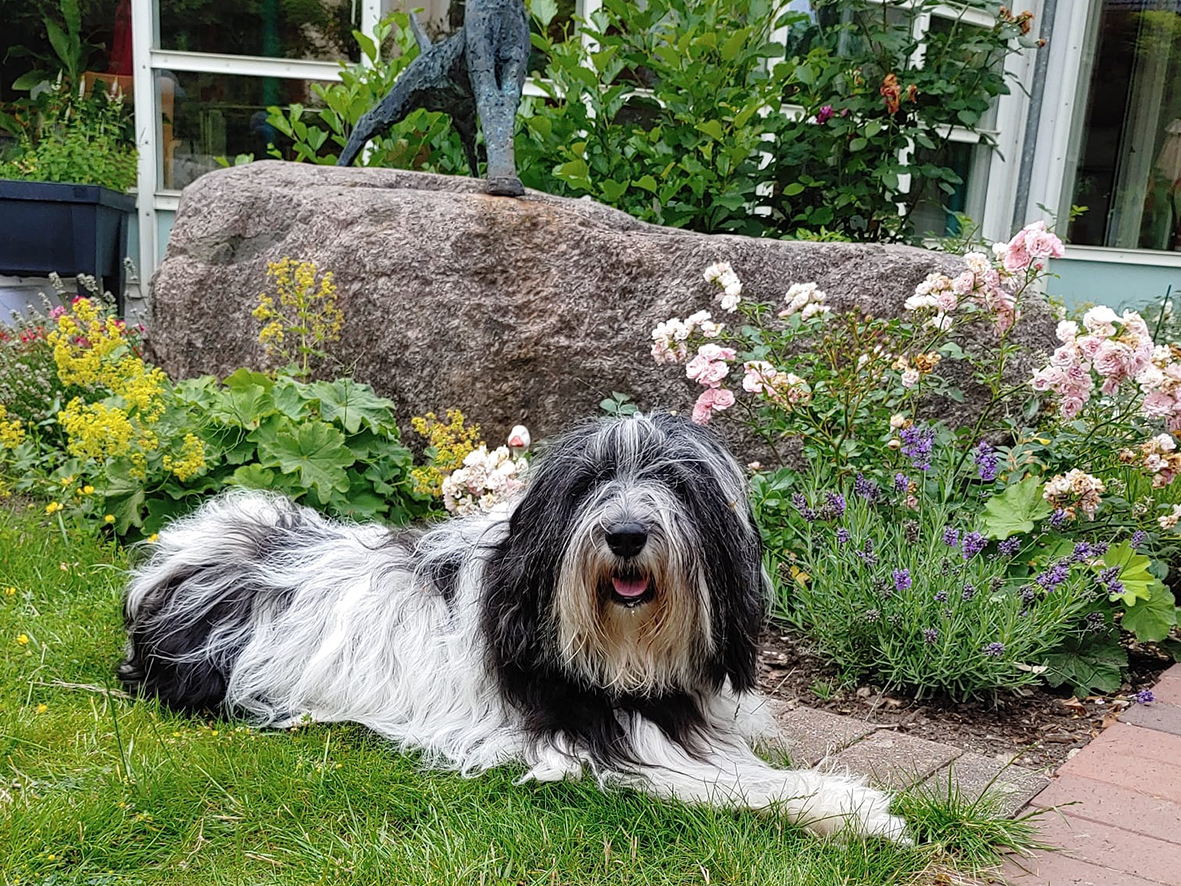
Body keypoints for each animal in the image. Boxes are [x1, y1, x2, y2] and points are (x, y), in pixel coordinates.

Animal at [119, 413, 905, 840]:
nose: (625, 534)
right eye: (590, 484)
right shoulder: (594, 743)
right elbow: (741, 783)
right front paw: (854, 810)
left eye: (675, 483)